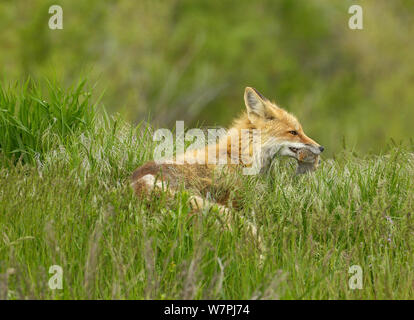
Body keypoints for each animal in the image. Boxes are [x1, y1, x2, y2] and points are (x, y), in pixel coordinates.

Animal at [131, 86, 322, 214]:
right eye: (293, 132)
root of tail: (135, 183)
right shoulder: (238, 198)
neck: (243, 156)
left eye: (300, 130)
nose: (321, 148)